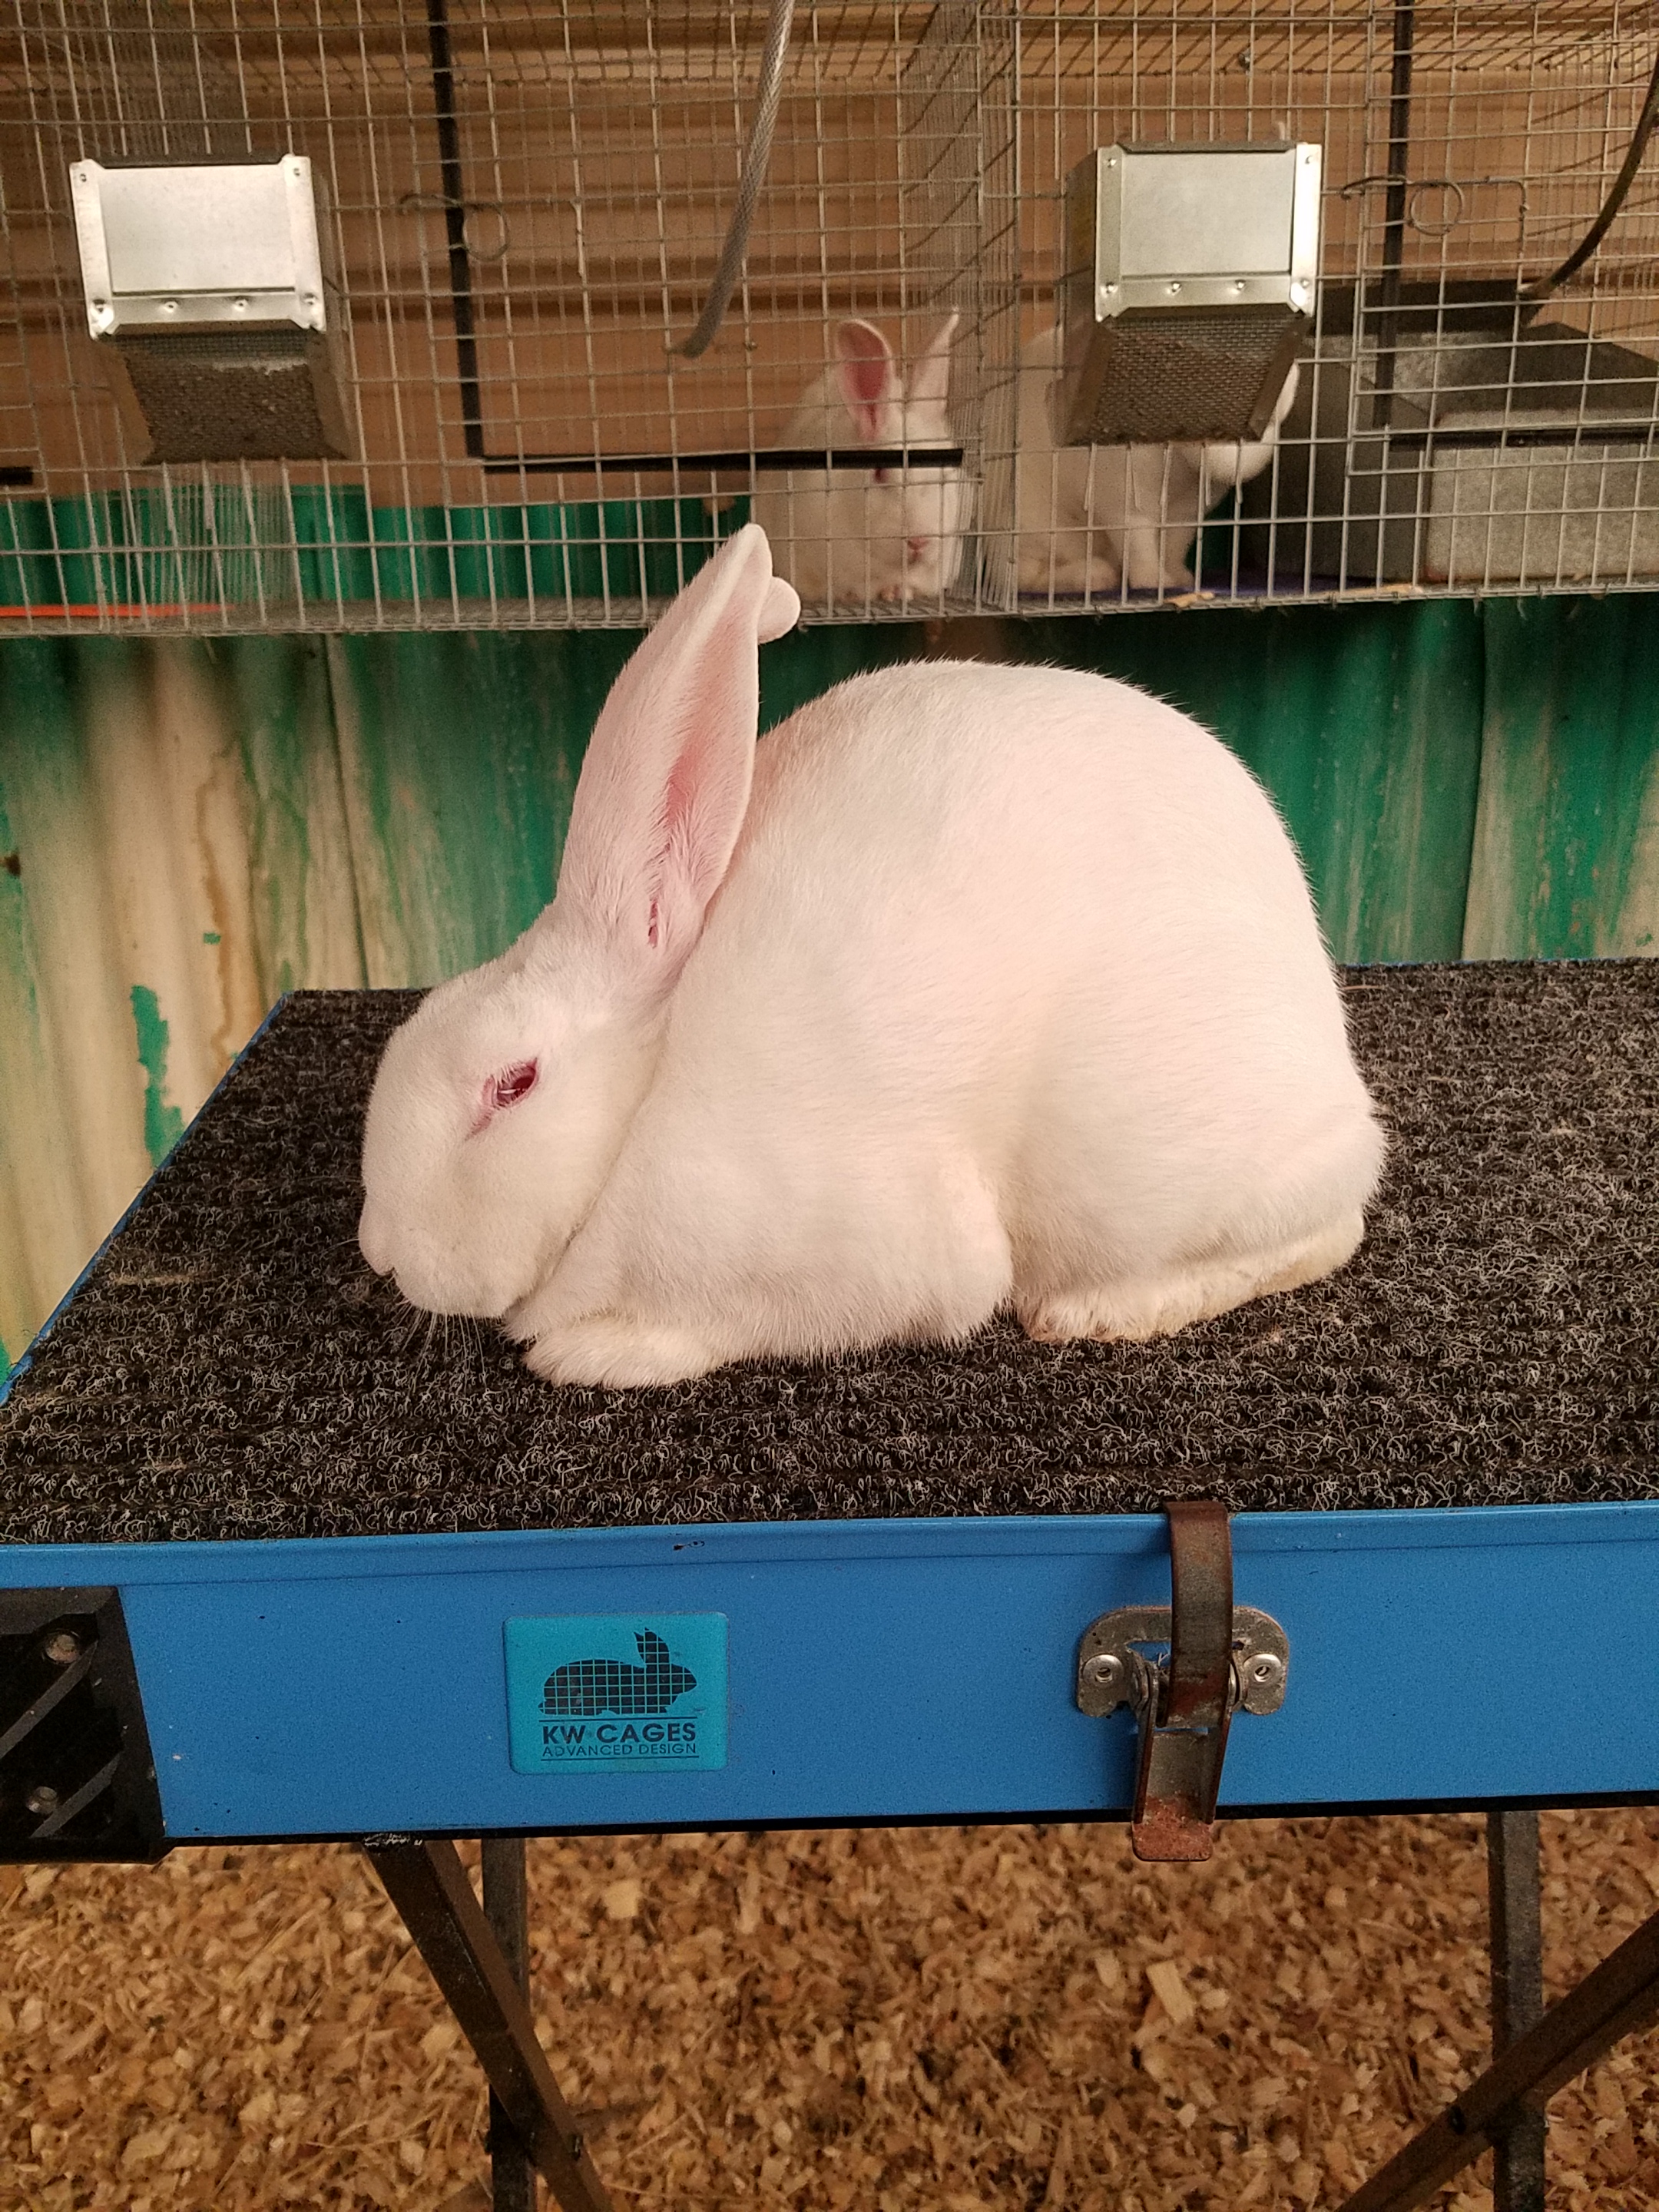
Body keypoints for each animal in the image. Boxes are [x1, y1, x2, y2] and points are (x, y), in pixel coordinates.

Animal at [358, 522, 1384, 1391]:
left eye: (512, 1085)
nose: (379, 1251)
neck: (639, 1113)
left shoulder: (864, 1256)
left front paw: (599, 1352)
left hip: (1153, 1170)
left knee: (1325, 1228)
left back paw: (1098, 1311)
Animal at [1002, 322, 1300, 597]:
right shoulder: (1125, 508)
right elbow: (1140, 547)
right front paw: (1155, 583)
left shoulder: (1186, 514)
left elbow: (1174, 545)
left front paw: (1179, 579)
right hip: (1041, 532)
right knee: (1027, 577)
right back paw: (1096, 576)